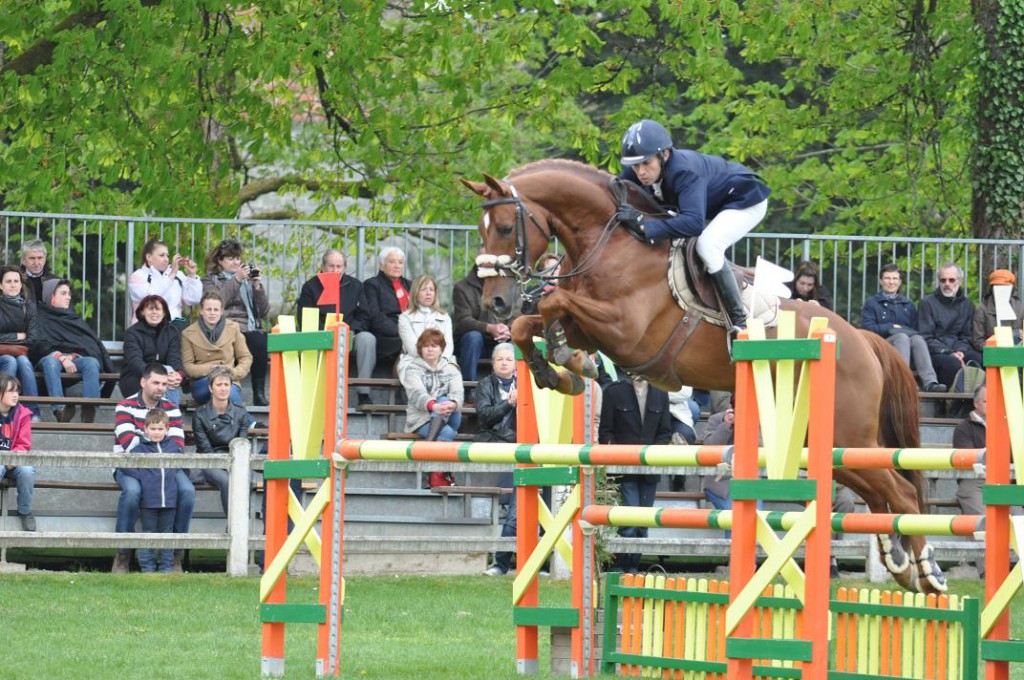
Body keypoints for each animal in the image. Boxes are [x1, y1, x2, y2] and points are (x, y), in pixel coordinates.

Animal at [460, 159, 946, 593]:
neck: (609, 242)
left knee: (901, 494)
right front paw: (560, 370)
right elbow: (531, 323)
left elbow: (550, 303)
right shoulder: (592, 326)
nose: (496, 303)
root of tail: (864, 340)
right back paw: (900, 565)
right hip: (825, 441)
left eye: (504, 227)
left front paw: (570, 361)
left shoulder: (626, 330)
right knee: (881, 492)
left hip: (847, 432)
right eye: (482, 230)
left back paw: (928, 572)